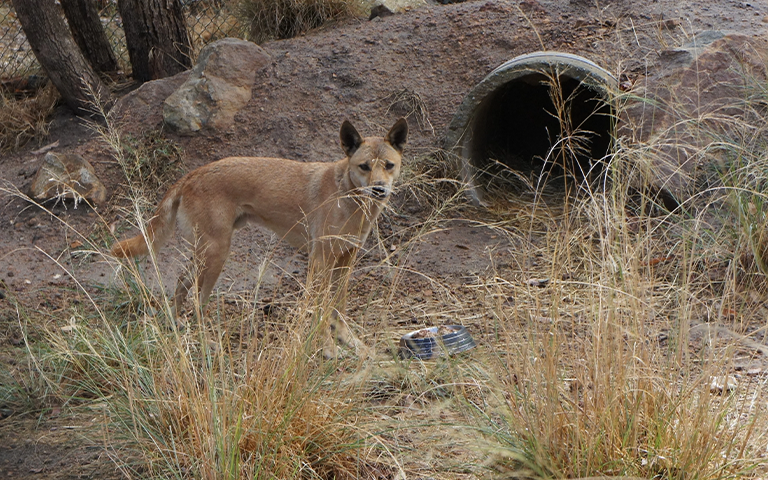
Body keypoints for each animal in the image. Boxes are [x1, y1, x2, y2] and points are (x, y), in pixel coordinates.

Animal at [111, 117, 408, 344]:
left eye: (389, 166)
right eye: (364, 166)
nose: (379, 189)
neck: (347, 197)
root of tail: (192, 174)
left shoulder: (346, 260)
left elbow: (338, 307)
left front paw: (348, 341)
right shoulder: (320, 260)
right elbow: (320, 308)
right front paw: (325, 346)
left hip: (205, 253)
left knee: (181, 283)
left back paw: (175, 323)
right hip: (216, 255)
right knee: (197, 301)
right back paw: (205, 340)